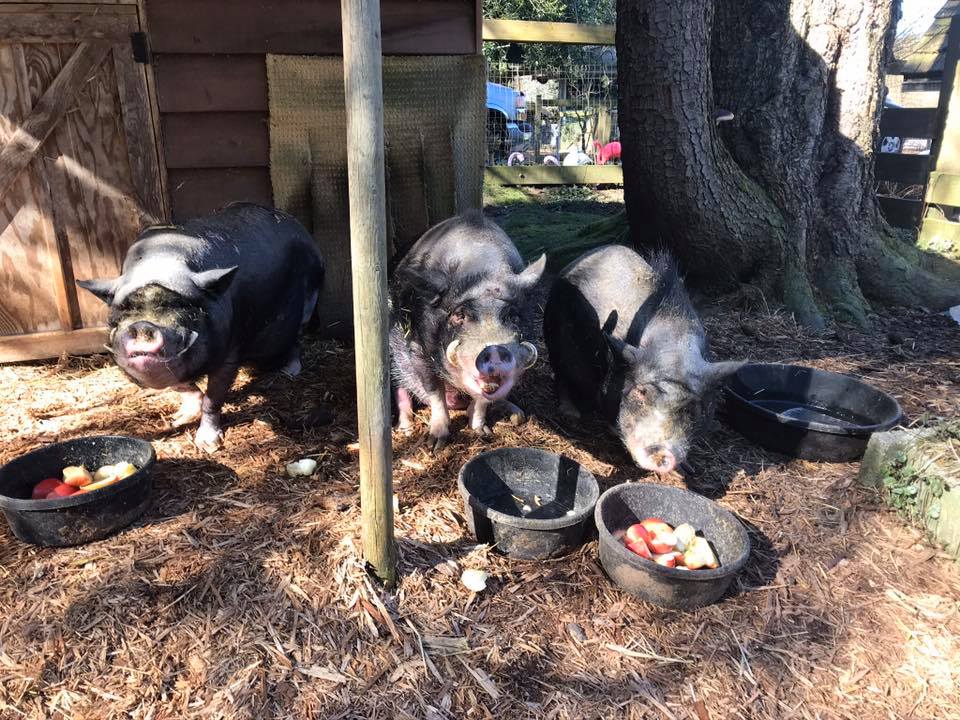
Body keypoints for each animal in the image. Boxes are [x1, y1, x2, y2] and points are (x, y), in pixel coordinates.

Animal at [77, 202, 324, 450]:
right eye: (121, 313)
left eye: (185, 309)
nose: (143, 327)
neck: (161, 262)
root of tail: (298, 226)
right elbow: (184, 386)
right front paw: (179, 419)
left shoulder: (230, 350)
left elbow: (212, 399)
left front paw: (208, 445)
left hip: (309, 300)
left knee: (296, 341)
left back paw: (288, 372)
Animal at [386, 214, 544, 450]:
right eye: (459, 315)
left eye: (511, 315)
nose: (495, 350)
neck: (483, 270)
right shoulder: (417, 350)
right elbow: (435, 391)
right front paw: (435, 444)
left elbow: (482, 400)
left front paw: (482, 432)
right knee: (401, 388)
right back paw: (406, 429)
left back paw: (517, 415)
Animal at [548, 245, 744, 476]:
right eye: (641, 392)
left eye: (692, 406)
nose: (664, 452)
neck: (674, 349)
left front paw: (688, 469)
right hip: (555, 337)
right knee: (561, 375)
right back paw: (571, 414)